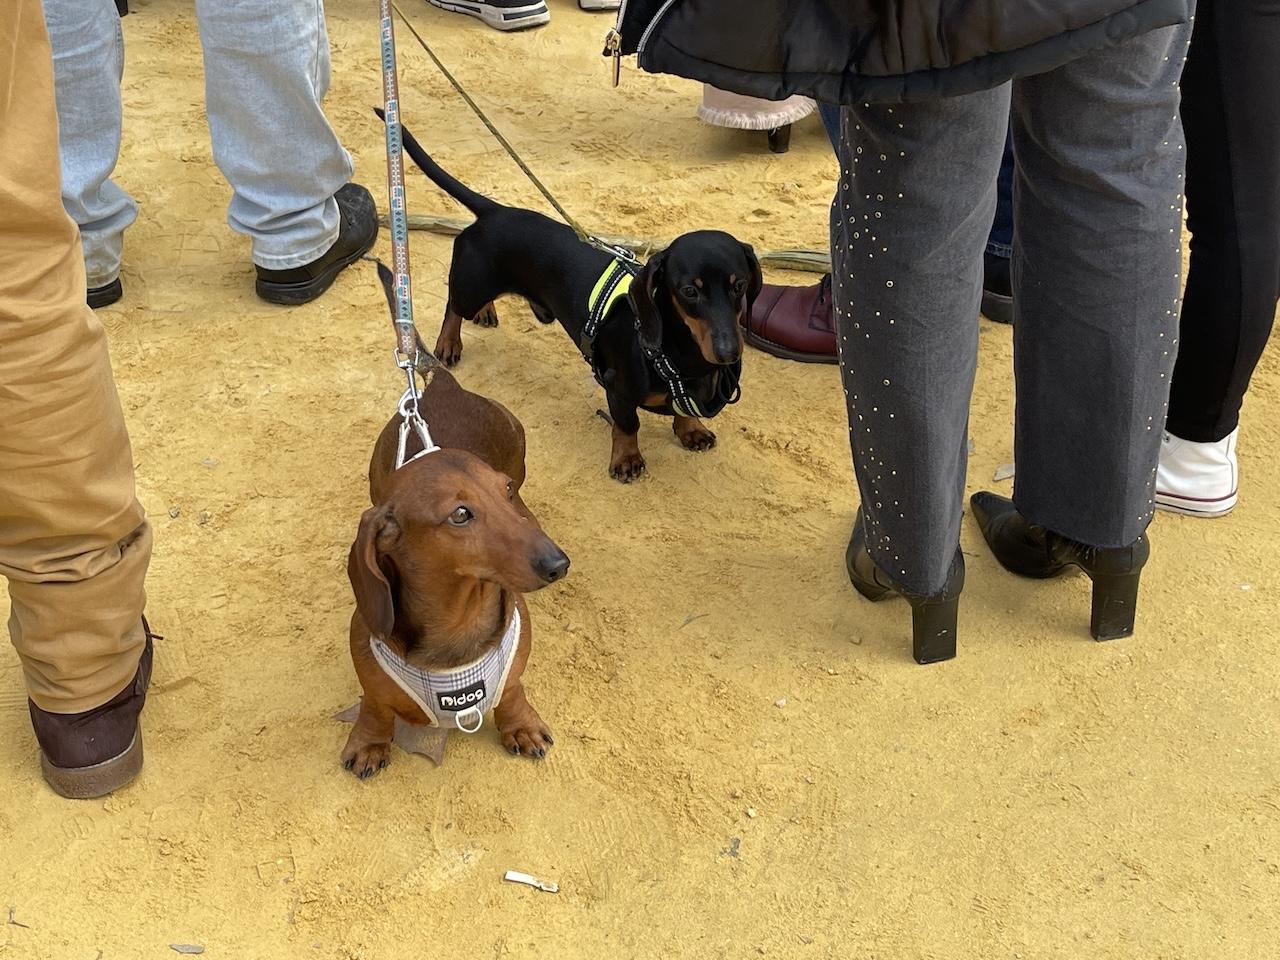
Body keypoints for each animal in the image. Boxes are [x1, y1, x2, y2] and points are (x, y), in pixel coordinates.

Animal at [337, 263, 568, 783]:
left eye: (505, 491)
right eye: (460, 514)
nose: (558, 564)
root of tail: (445, 386)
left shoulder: (517, 651)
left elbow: (513, 690)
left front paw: (521, 726)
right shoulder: (365, 649)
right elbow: (375, 705)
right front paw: (368, 742)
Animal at [376, 110, 757, 483]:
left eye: (739, 286)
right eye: (689, 291)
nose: (729, 352)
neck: (680, 355)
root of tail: (496, 211)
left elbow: (683, 413)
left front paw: (691, 429)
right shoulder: (617, 389)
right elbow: (627, 425)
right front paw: (626, 459)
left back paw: (486, 312)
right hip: (470, 286)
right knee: (453, 306)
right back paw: (449, 343)